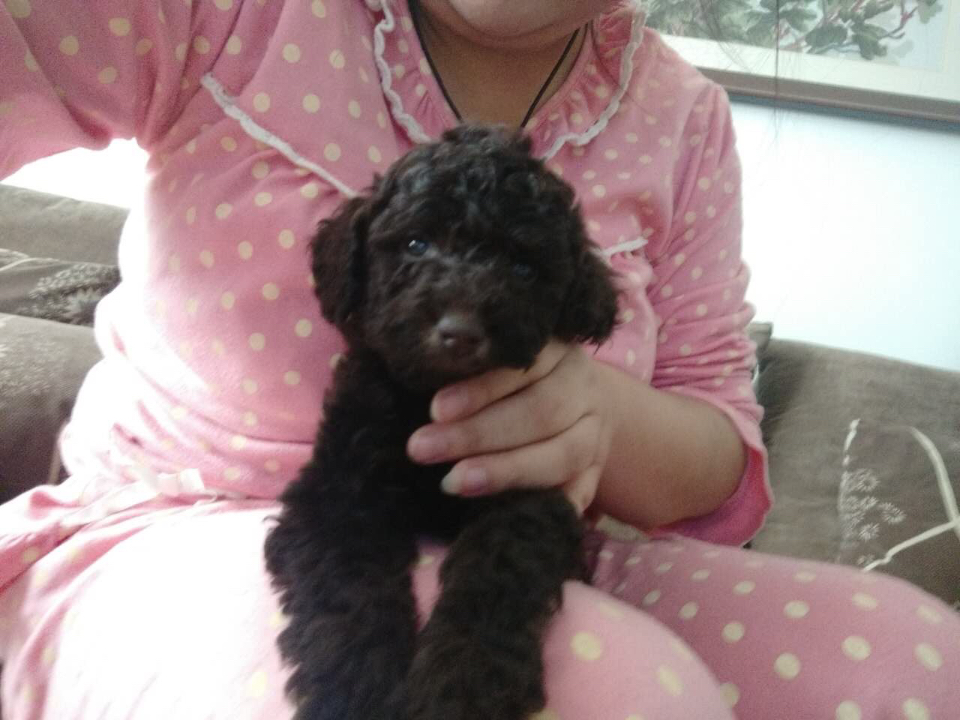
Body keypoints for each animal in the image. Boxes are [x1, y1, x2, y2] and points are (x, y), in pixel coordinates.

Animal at [264, 125, 619, 720]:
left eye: (524, 269)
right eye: (416, 244)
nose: (460, 331)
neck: (428, 395)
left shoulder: (526, 489)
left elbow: (497, 572)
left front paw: (463, 686)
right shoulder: (339, 488)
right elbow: (346, 580)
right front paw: (355, 686)